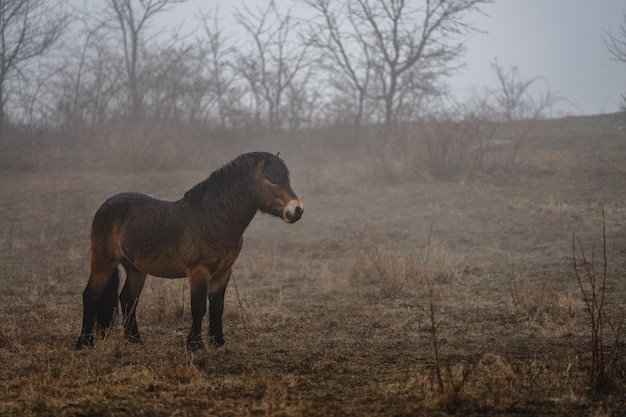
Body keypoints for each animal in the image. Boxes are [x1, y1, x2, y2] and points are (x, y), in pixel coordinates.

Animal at [74, 151, 304, 350]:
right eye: (272, 180)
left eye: (286, 179)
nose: (297, 210)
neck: (211, 219)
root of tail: (106, 205)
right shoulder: (198, 271)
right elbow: (199, 307)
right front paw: (195, 344)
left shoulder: (223, 272)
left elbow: (217, 307)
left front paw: (218, 341)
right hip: (103, 263)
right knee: (91, 296)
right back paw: (84, 342)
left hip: (135, 268)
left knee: (128, 299)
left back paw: (135, 340)